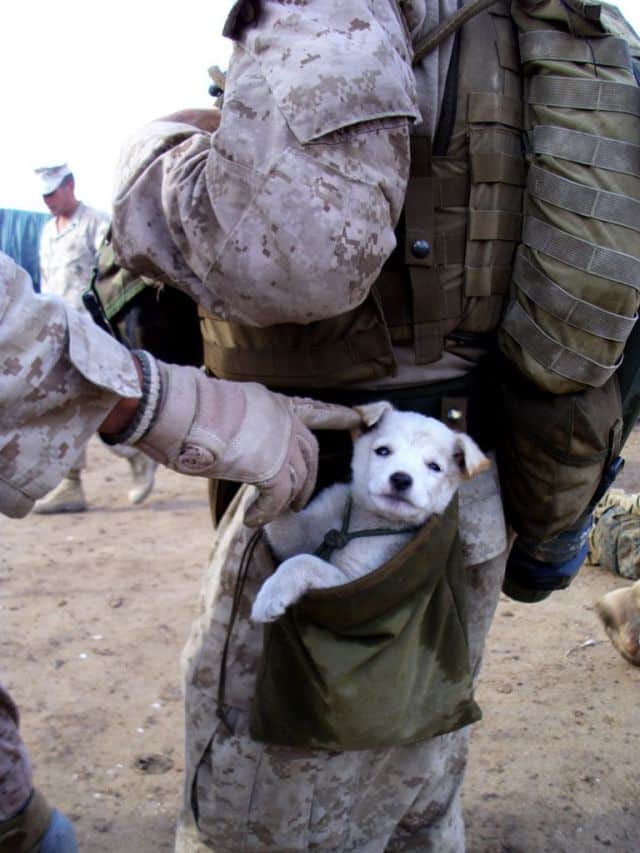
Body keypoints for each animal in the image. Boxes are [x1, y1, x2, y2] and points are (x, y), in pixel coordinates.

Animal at [251, 402, 490, 624]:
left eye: (434, 467)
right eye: (383, 451)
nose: (401, 479)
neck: (367, 521)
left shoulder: (353, 585)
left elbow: (304, 561)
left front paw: (271, 595)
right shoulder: (299, 537)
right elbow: (285, 529)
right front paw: (276, 466)